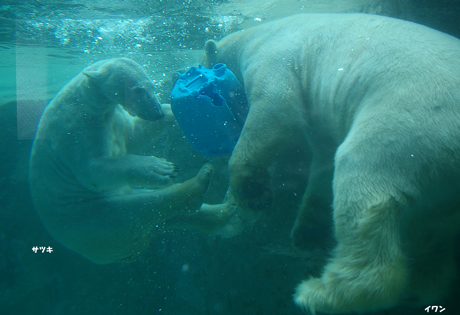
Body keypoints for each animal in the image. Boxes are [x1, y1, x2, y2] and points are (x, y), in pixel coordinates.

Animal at [29, 58, 237, 266]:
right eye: (137, 90)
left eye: (152, 85)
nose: (157, 113)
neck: (88, 98)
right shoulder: (74, 130)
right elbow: (94, 169)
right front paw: (161, 168)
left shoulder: (112, 117)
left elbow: (135, 134)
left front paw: (178, 112)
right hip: (88, 219)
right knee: (138, 208)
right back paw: (199, 183)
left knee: (164, 213)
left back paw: (226, 208)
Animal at [203, 13, 460, 314]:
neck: (254, 35)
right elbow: (323, 163)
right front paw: (307, 233)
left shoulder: (275, 56)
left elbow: (276, 111)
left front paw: (252, 193)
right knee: (433, 237)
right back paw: (419, 287)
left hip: (414, 126)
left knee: (362, 178)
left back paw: (320, 293)